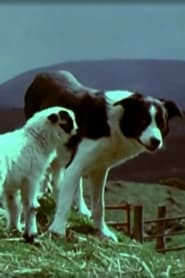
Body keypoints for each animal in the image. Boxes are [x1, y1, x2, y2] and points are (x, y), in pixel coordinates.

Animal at [24, 70, 182, 241]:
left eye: (161, 122)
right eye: (143, 120)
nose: (156, 141)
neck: (114, 123)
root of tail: (41, 74)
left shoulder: (99, 169)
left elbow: (100, 205)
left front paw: (103, 231)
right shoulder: (78, 163)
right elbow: (65, 203)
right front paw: (58, 229)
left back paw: (80, 208)